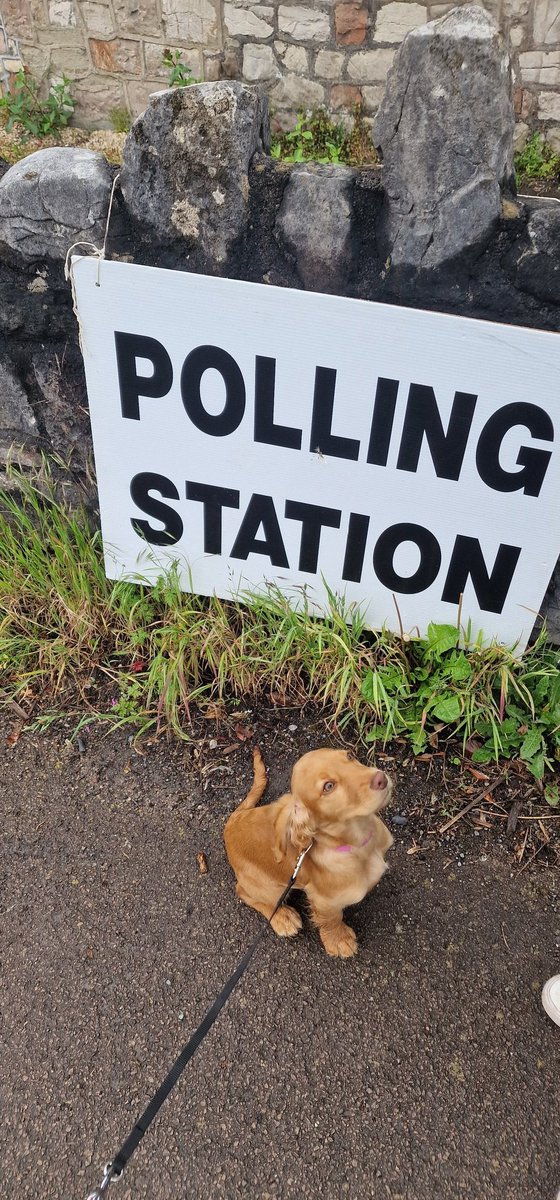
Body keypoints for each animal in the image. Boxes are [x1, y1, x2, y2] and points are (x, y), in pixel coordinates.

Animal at [223, 748, 395, 955]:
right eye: (328, 786)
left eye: (349, 756)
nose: (381, 779)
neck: (361, 845)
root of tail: (231, 823)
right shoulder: (323, 900)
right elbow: (331, 919)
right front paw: (338, 940)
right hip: (270, 887)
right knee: (243, 892)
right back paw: (282, 917)